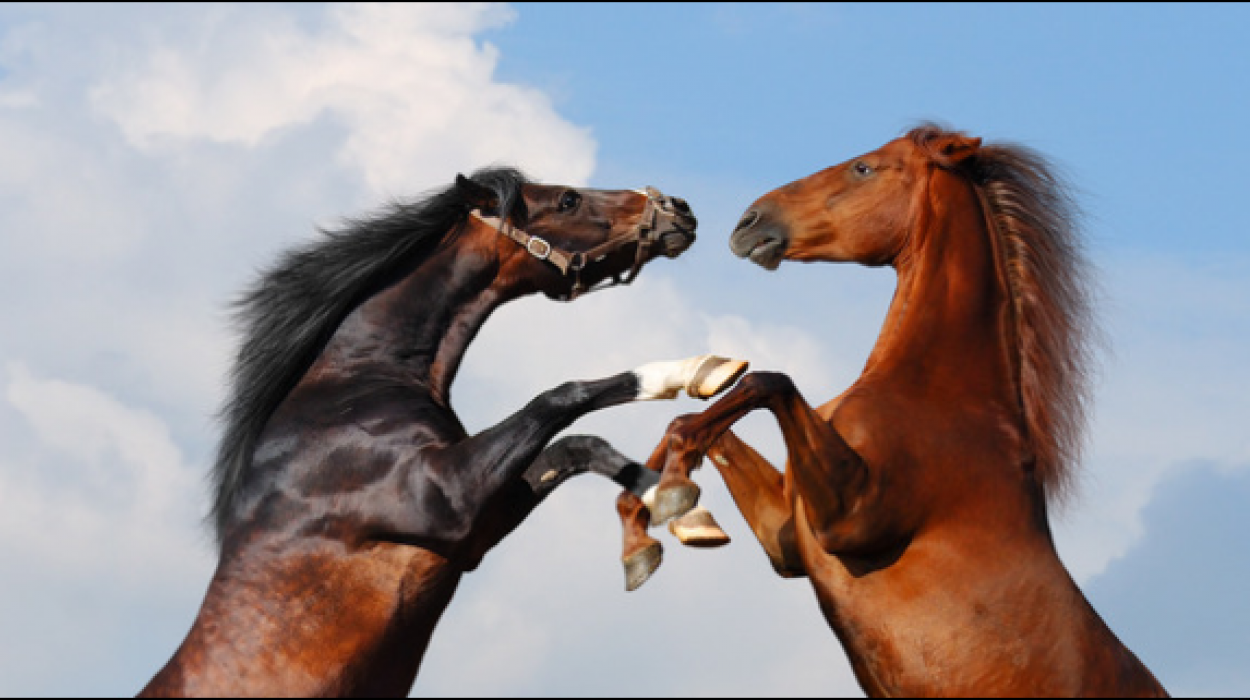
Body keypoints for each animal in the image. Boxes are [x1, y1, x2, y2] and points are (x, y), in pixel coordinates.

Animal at [140, 170, 740, 700]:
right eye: (567, 199)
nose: (679, 210)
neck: (353, 387)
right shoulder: (448, 502)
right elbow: (563, 396)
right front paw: (698, 371)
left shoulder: (478, 527)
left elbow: (577, 446)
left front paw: (678, 510)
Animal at [645, 124, 1170, 695]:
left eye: (864, 167)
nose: (749, 222)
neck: (939, 392)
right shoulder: (785, 537)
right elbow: (706, 414)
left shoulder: (851, 516)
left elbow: (769, 382)